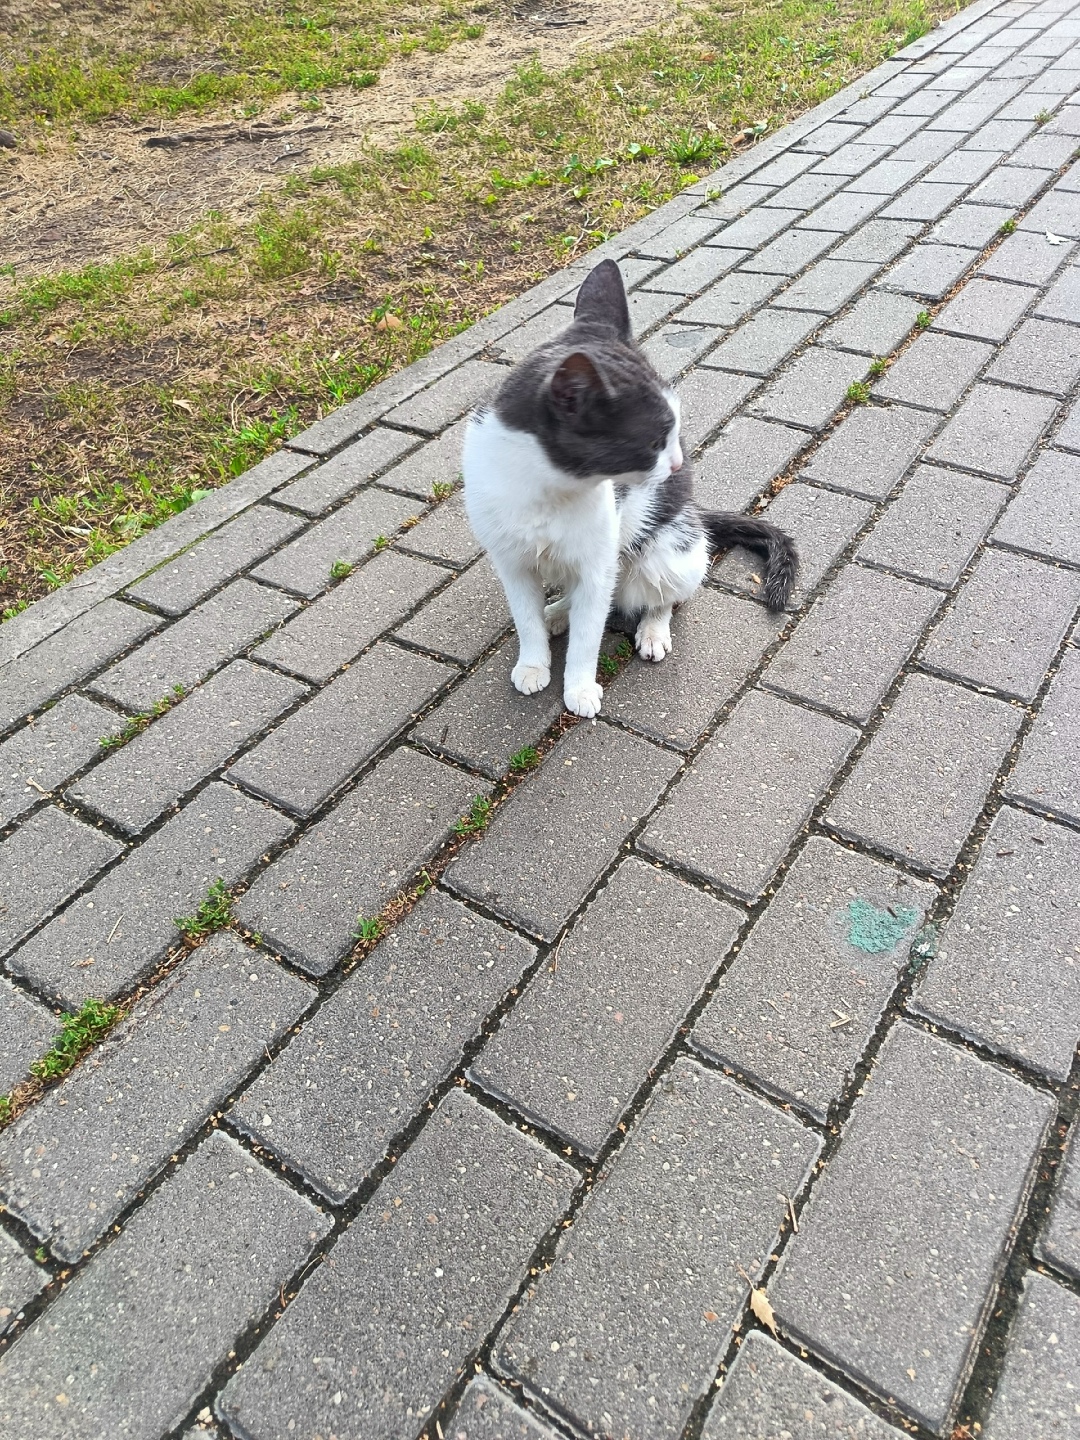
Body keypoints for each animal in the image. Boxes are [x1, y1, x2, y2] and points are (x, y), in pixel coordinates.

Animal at [461, 258, 798, 718]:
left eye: (674, 431)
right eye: (654, 440)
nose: (677, 464)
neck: (548, 491)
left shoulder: (598, 557)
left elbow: (589, 635)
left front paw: (580, 687)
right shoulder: (511, 560)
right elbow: (526, 617)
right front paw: (532, 663)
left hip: (669, 550)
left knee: (661, 594)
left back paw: (652, 629)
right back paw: (558, 612)